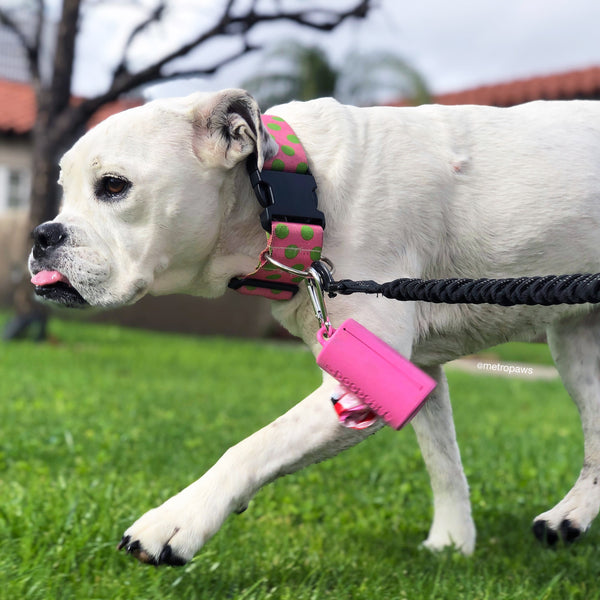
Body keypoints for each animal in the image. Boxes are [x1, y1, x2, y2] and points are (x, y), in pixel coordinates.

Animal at [29, 88, 600, 564]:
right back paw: (570, 516)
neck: (289, 197)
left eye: (113, 186)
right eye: (63, 192)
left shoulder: (354, 392)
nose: (42, 234)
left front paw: (177, 519)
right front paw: (453, 542)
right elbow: (442, 459)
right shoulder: (409, 374)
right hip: (578, 347)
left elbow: (254, 445)